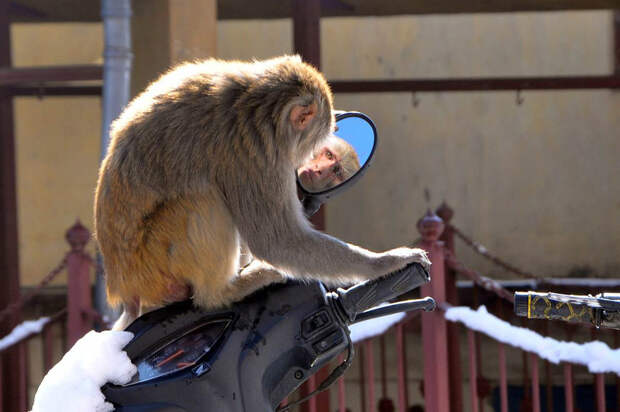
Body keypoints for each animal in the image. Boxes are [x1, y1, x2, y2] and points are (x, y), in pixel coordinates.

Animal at [93, 56, 432, 330]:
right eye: (323, 148)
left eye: (332, 163)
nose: (315, 167)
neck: (254, 101)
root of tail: (125, 288)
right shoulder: (254, 156)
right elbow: (277, 241)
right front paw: (387, 262)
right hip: (157, 262)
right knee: (204, 198)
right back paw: (222, 292)